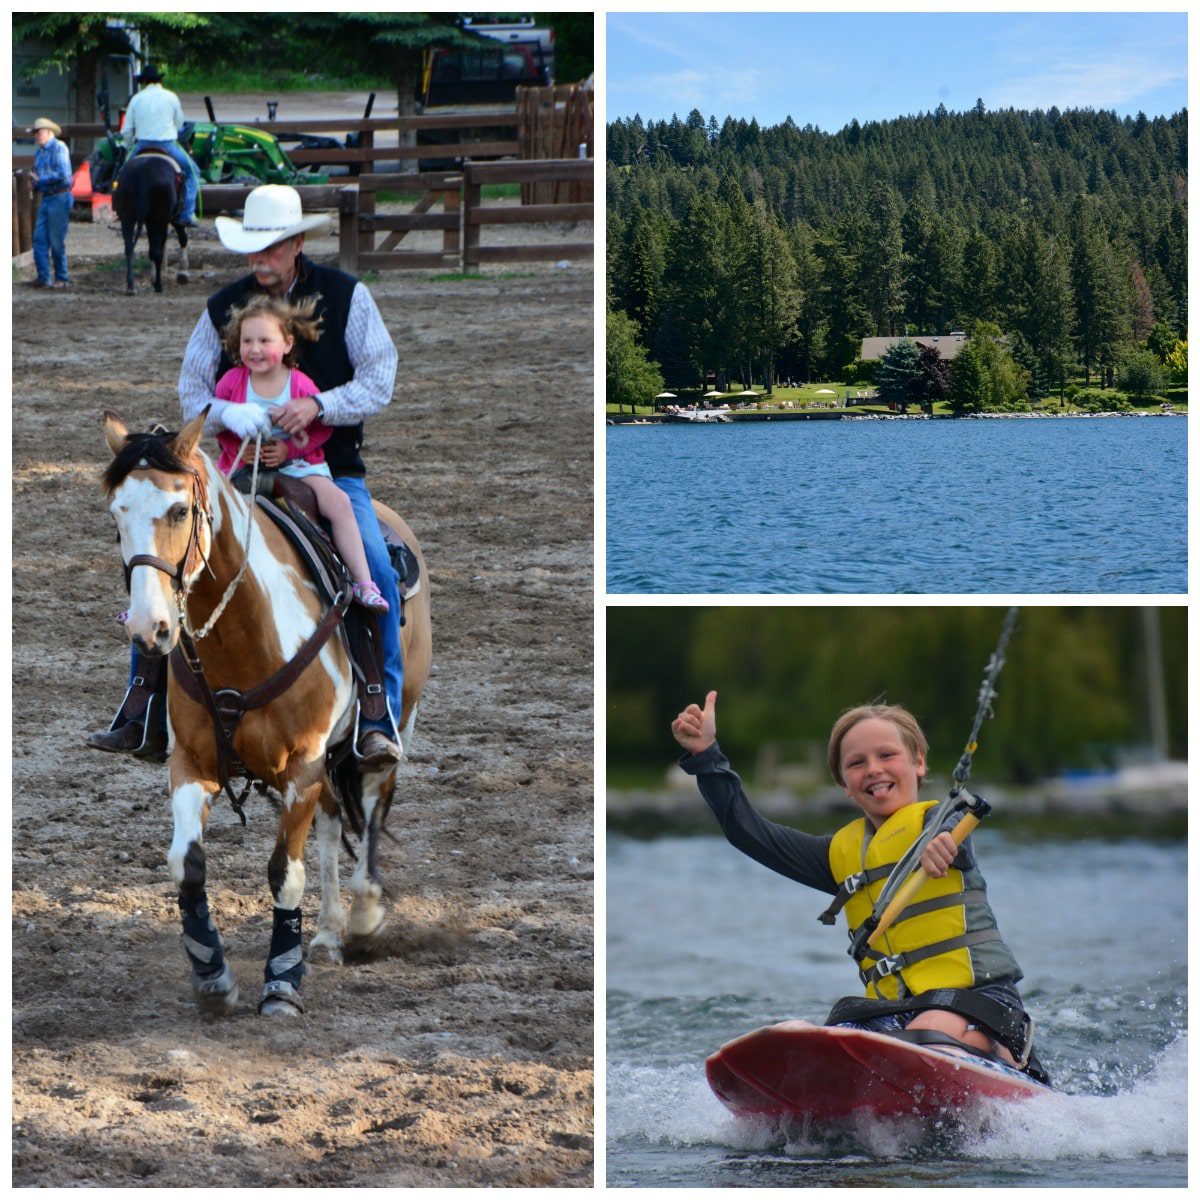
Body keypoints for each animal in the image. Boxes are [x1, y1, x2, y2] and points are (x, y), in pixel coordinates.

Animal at [102, 410, 432, 1012]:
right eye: (118, 513)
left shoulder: (301, 767)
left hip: (393, 727)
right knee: (331, 822)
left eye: (179, 509)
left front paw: (282, 980)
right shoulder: (193, 763)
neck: (244, 639)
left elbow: (285, 874)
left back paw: (364, 918)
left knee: (372, 804)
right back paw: (327, 933)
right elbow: (187, 864)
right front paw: (212, 974)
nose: (148, 627)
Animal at [111, 150, 189, 295]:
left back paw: (131, 286)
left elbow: (150, 249)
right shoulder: (167, 219)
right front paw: (183, 272)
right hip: (161, 218)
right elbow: (179, 238)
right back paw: (158, 285)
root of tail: (142, 172)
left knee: (129, 249)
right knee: (159, 250)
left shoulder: (149, 221)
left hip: (128, 217)